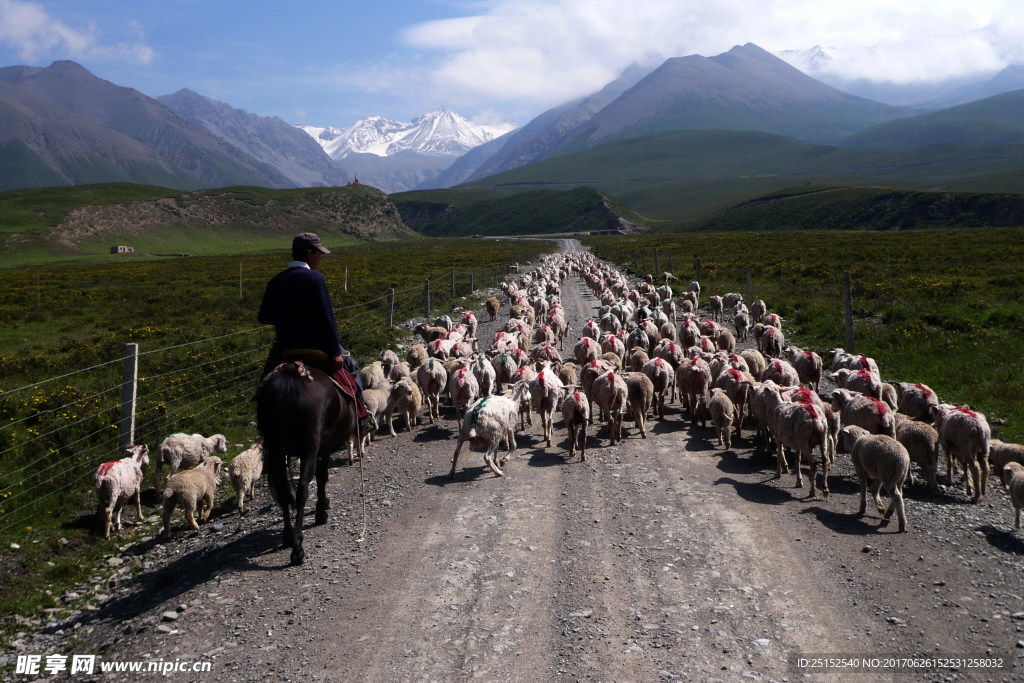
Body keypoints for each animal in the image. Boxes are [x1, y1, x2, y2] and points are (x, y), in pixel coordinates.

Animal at [253, 358, 362, 565]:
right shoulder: (324, 446)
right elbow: (322, 476)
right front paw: (321, 509)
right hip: (310, 447)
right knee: (303, 487)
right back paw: (298, 548)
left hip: (276, 448)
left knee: (283, 489)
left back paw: (288, 536)